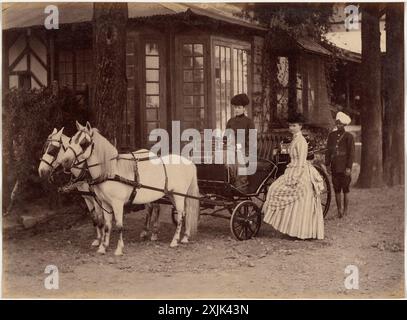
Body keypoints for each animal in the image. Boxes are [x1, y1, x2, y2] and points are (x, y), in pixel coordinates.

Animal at [59, 120, 200, 255]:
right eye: (71, 140)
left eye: (84, 143)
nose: (64, 161)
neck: (111, 171)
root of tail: (188, 162)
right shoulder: (105, 204)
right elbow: (107, 226)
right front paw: (103, 247)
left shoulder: (117, 203)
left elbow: (119, 225)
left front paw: (118, 249)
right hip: (172, 195)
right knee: (185, 212)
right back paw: (185, 237)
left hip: (179, 195)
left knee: (180, 215)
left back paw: (174, 241)